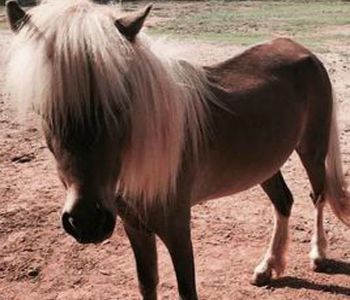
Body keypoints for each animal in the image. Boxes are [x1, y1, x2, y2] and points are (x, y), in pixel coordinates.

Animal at [5, 0, 350, 300]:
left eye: (121, 103)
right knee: (284, 201)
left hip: (312, 150)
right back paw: (267, 267)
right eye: (45, 108)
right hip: (266, 164)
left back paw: (318, 255)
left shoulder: (176, 226)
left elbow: (187, 289)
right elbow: (148, 284)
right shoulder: (135, 226)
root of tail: (301, 50)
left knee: (317, 196)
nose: (87, 221)